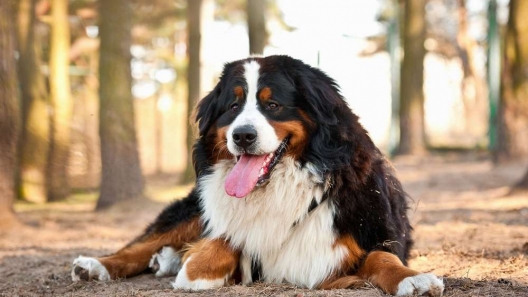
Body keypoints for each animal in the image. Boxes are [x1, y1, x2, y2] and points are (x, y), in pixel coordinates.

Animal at [73, 55, 446, 294]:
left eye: (273, 105)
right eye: (233, 106)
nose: (242, 136)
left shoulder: (375, 231)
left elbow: (383, 257)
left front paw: (413, 279)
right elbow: (224, 241)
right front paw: (195, 265)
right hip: (191, 207)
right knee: (143, 243)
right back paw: (95, 265)